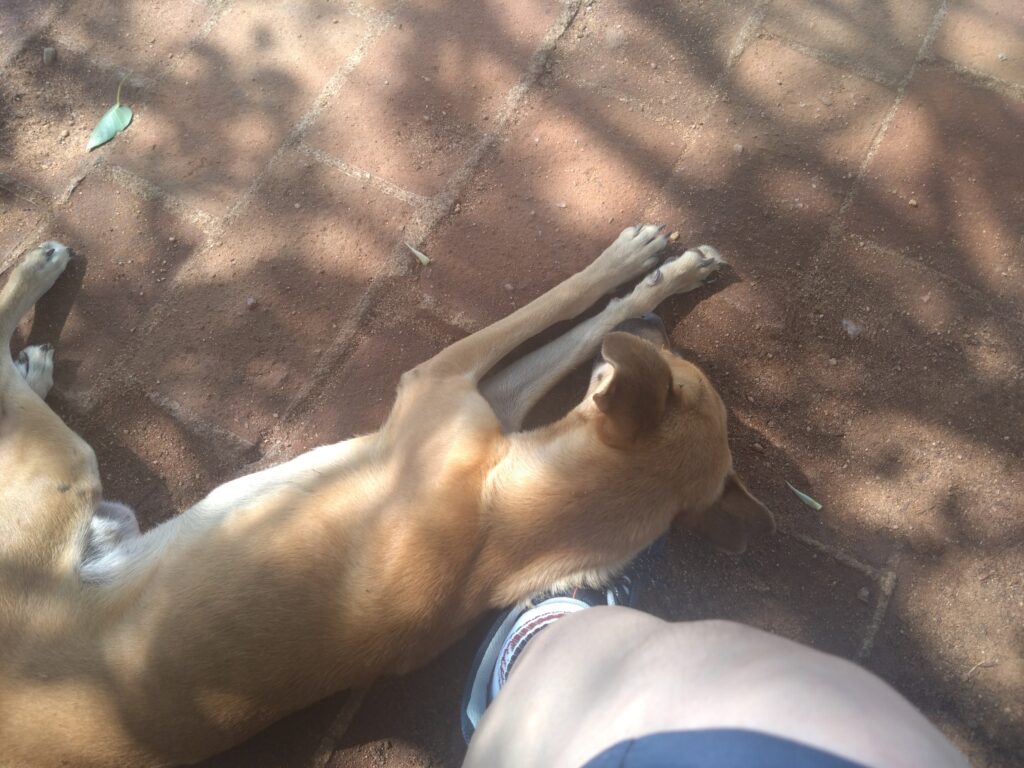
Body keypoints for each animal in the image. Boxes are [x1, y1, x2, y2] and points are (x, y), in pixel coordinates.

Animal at [0, 226, 774, 766]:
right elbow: (568, 321)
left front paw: (642, 272)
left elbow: (561, 310)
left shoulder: (445, 380)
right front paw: (652, 271)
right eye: (692, 379)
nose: (657, 332)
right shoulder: (478, 398)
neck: (511, 526)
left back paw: (35, 290)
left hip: (64, 471)